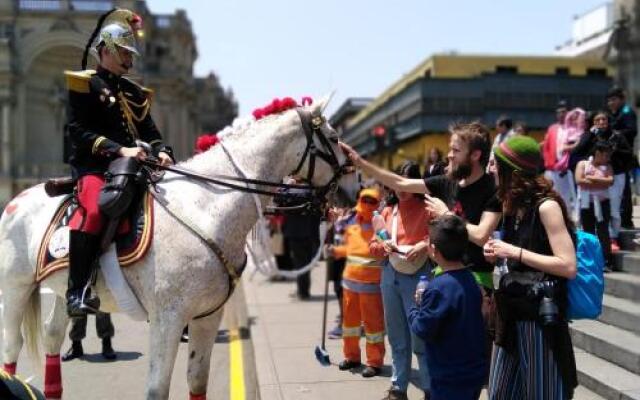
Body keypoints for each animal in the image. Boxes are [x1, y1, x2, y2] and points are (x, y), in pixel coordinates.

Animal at [0, 95, 348, 398]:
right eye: (332, 136)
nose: (350, 185)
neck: (206, 205)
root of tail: (17, 199)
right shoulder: (167, 320)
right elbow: (157, 389)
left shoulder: (208, 316)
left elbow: (197, 379)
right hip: (16, 287)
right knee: (12, 346)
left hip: (62, 288)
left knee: (52, 335)